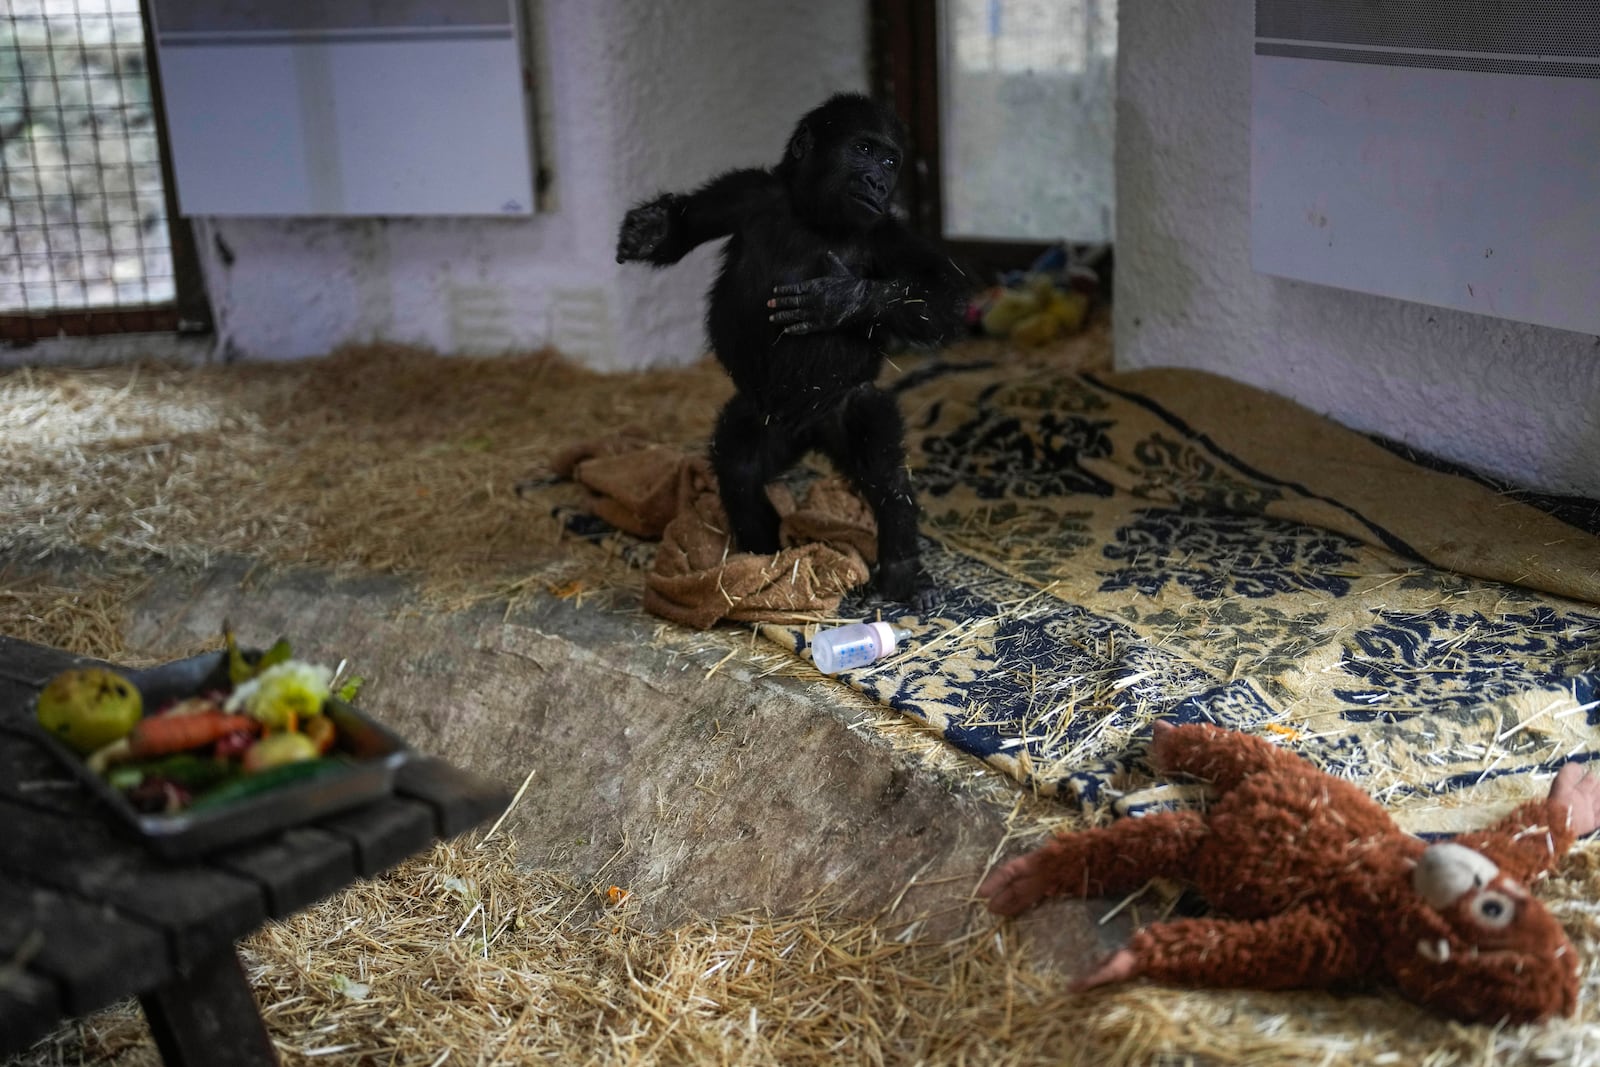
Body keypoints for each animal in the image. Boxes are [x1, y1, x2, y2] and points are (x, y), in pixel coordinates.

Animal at [611, 91, 960, 607]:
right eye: (863, 149)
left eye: (890, 160)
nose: (878, 182)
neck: (814, 216)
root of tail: (809, 431)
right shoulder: (746, 192)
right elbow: (690, 222)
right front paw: (654, 230)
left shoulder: (888, 234)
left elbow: (941, 297)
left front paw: (843, 299)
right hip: (766, 414)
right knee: (738, 465)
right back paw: (762, 560)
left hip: (846, 405)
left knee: (885, 475)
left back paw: (899, 571)